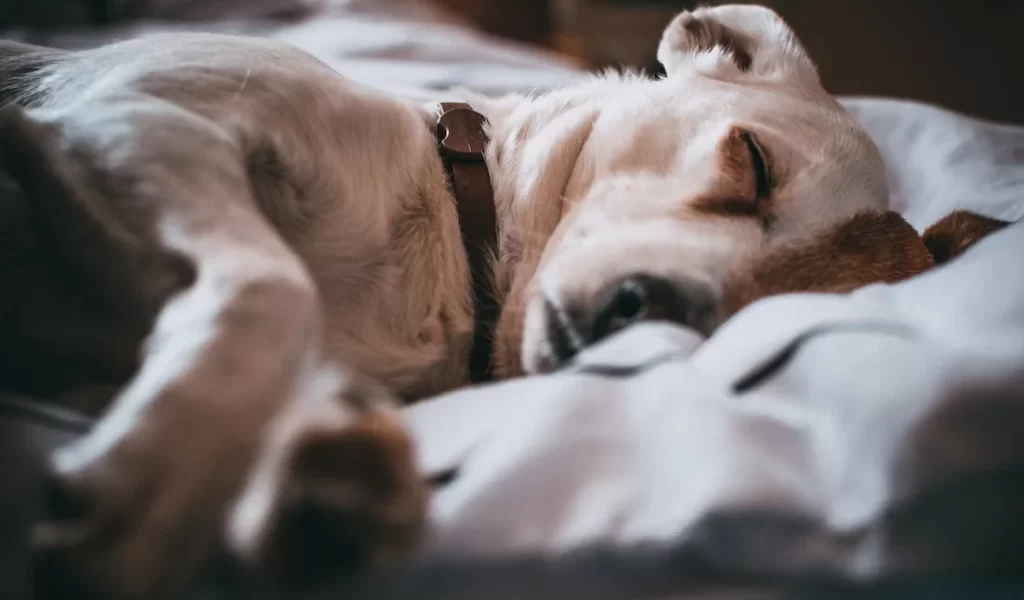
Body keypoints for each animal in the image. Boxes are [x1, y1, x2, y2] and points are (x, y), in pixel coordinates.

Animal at [0, 5, 1007, 597]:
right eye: (753, 163)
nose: (641, 308)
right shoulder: (131, 119)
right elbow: (274, 288)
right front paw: (154, 493)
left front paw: (325, 482)